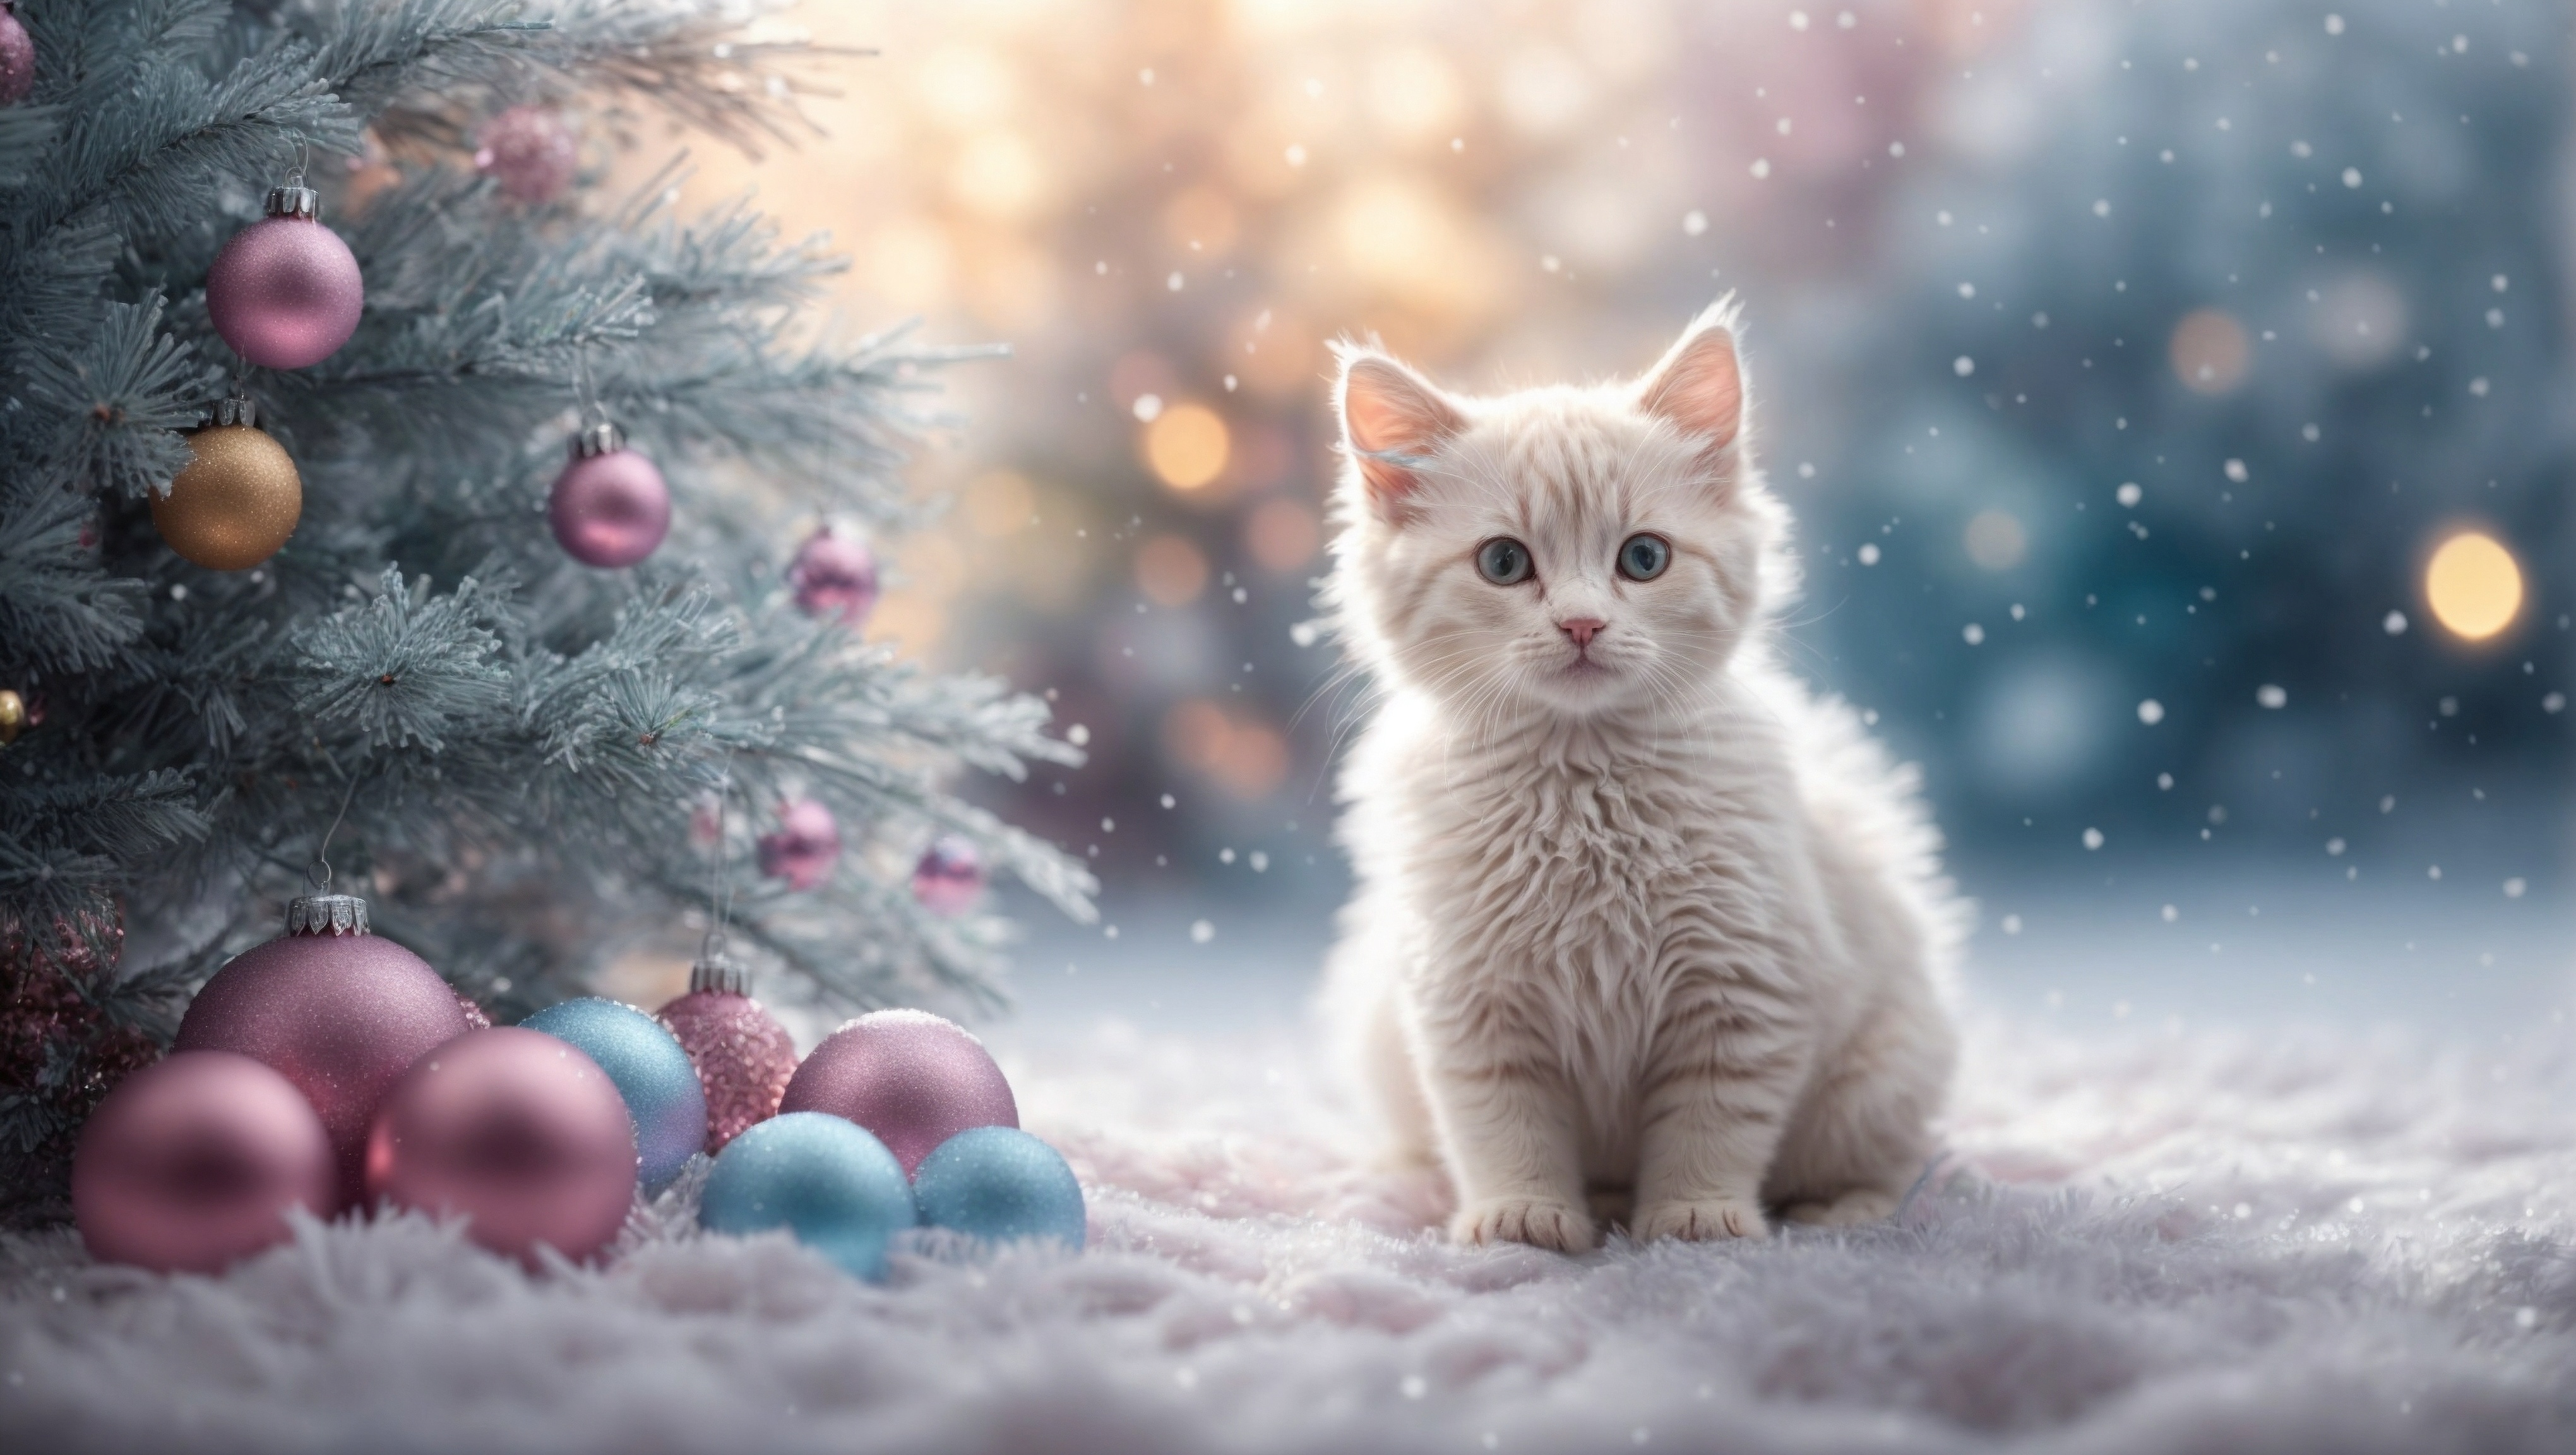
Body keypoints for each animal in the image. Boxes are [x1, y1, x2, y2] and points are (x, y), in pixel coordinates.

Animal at [1329, 297, 1947, 1246]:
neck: (1582, 786)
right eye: (1504, 563)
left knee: (1890, 1158)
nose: (1583, 624)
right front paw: (1520, 1215)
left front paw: (1696, 1218)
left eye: (1644, 558)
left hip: (1886, 1065)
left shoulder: (1744, 986)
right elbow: (1499, 1125)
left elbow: (1712, 1125)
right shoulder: (1469, 1001)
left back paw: (1846, 1212)